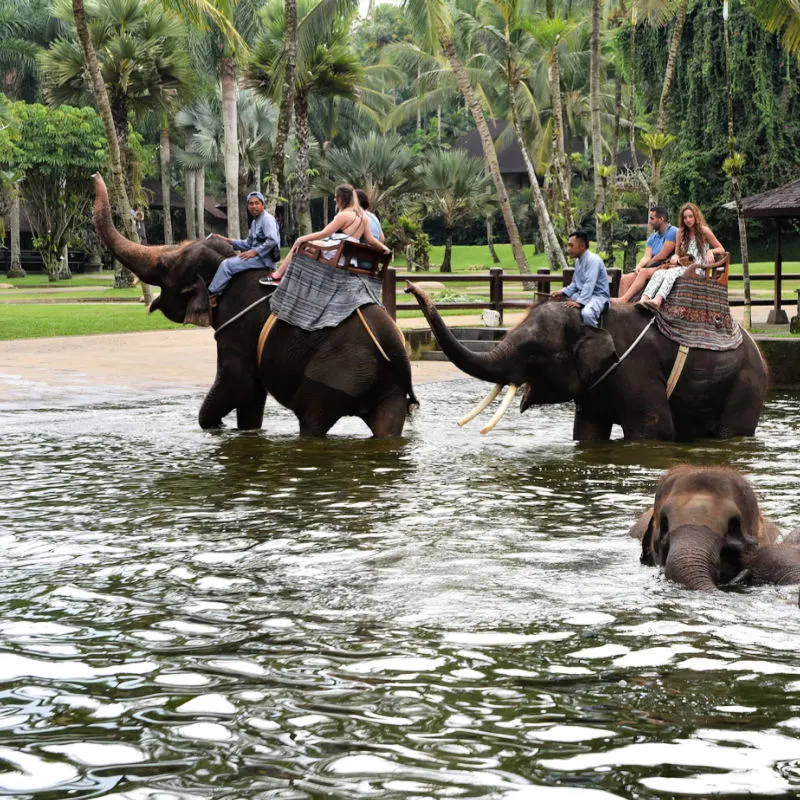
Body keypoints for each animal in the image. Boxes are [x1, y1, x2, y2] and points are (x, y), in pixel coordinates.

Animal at [94, 174, 418, 438]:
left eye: (163, 266)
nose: (94, 175)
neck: (227, 264)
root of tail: (398, 360)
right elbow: (250, 400)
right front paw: (239, 430)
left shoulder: (236, 332)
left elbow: (238, 386)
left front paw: (216, 426)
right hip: (388, 393)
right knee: (387, 427)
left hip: (334, 376)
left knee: (312, 421)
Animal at [406, 284, 768, 440]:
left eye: (534, 352)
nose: (411, 288)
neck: (591, 321)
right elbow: (588, 432)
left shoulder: (637, 371)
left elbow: (654, 431)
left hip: (747, 384)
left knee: (731, 430)